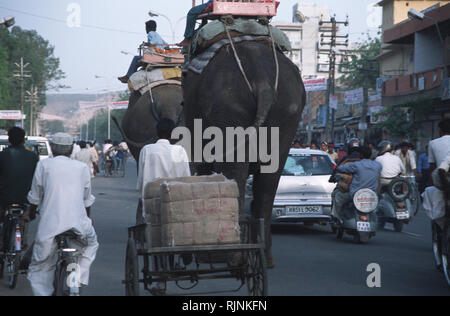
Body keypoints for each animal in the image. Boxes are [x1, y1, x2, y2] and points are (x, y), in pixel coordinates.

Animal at [183, 39, 306, 266]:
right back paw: (264, 257)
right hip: (288, 114)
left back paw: (230, 255)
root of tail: (262, 80)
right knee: (269, 181)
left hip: (228, 107)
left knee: (235, 173)